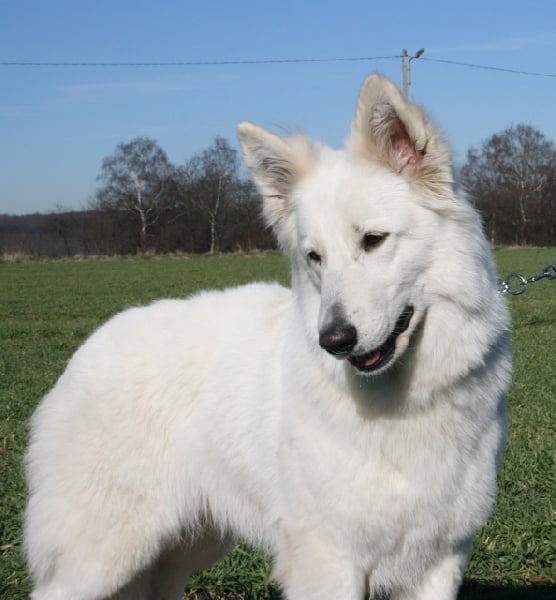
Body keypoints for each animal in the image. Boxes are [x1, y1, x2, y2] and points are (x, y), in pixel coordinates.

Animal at [24, 74, 511, 600]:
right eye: (315, 256)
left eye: (373, 240)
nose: (333, 340)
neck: (403, 401)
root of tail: (88, 347)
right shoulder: (330, 560)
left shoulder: (441, 557)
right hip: (105, 555)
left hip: (183, 548)